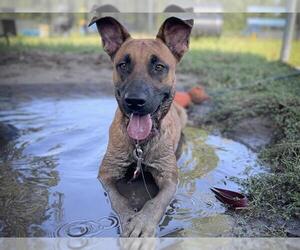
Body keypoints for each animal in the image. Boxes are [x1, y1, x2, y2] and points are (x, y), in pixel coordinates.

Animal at [89, 14, 193, 237]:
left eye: (159, 66)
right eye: (122, 65)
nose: (135, 101)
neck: (140, 144)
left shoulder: (169, 179)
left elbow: (155, 203)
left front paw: (143, 222)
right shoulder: (106, 174)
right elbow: (120, 200)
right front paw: (129, 219)